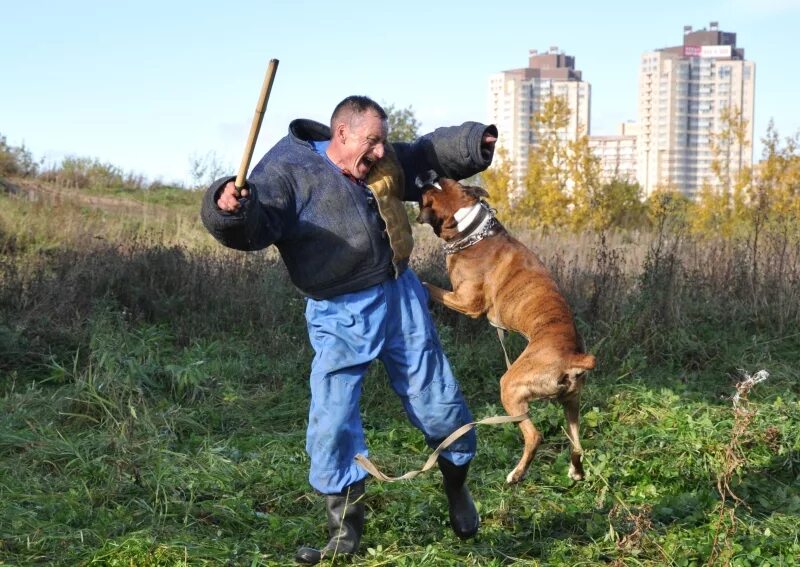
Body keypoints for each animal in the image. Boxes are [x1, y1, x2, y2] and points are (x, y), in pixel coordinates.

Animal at [418, 176, 592, 484]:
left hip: (510, 388)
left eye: (427, 196)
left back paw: (517, 474)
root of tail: (574, 357)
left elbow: (429, 286)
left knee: (534, 436)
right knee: (577, 445)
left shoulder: (467, 302)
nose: (426, 175)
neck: (472, 229)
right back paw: (576, 472)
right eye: (444, 179)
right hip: (571, 403)